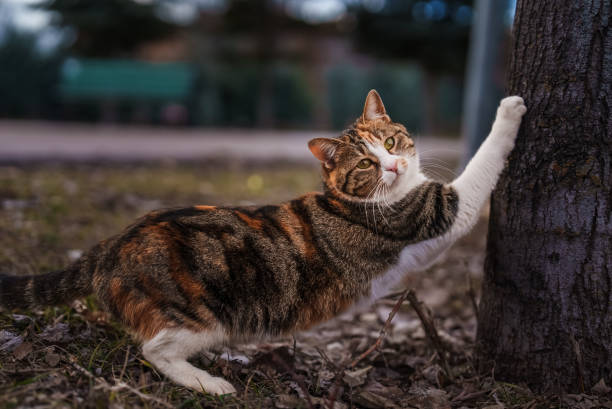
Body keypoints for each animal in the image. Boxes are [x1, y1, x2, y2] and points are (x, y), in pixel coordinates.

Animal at [0, 91, 524, 394]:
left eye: (391, 143)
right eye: (365, 164)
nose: (393, 166)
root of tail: (112, 243)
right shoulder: (434, 213)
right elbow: (479, 169)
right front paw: (509, 110)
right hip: (202, 312)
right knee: (155, 349)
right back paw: (208, 382)